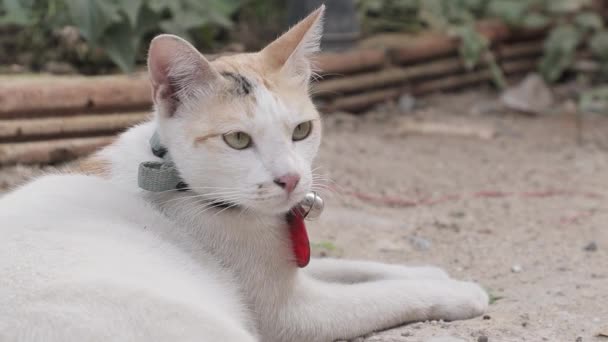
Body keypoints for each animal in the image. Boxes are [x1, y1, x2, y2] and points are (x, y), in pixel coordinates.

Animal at [0, 6, 486, 342]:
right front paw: (461, 292)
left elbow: (345, 264)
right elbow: (387, 296)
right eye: (237, 139)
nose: (290, 179)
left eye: (301, 130)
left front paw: (426, 269)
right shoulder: (295, 315)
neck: (175, 178)